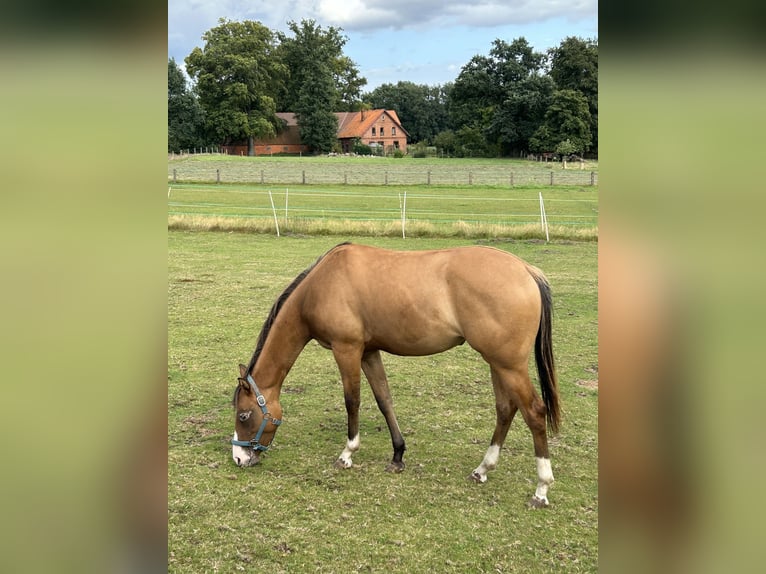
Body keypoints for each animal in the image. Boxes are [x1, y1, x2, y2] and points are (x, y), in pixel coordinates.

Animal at [231, 243, 560, 508]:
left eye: (244, 416)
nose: (239, 458)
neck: (321, 285)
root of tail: (526, 270)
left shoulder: (347, 349)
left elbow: (352, 401)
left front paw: (347, 454)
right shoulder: (369, 352)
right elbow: (384, 399)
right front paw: (397, 456)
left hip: (508, 365)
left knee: (534, 412)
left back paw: (541, 489)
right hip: (497, 363)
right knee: (506, 409)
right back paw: (482, 470)